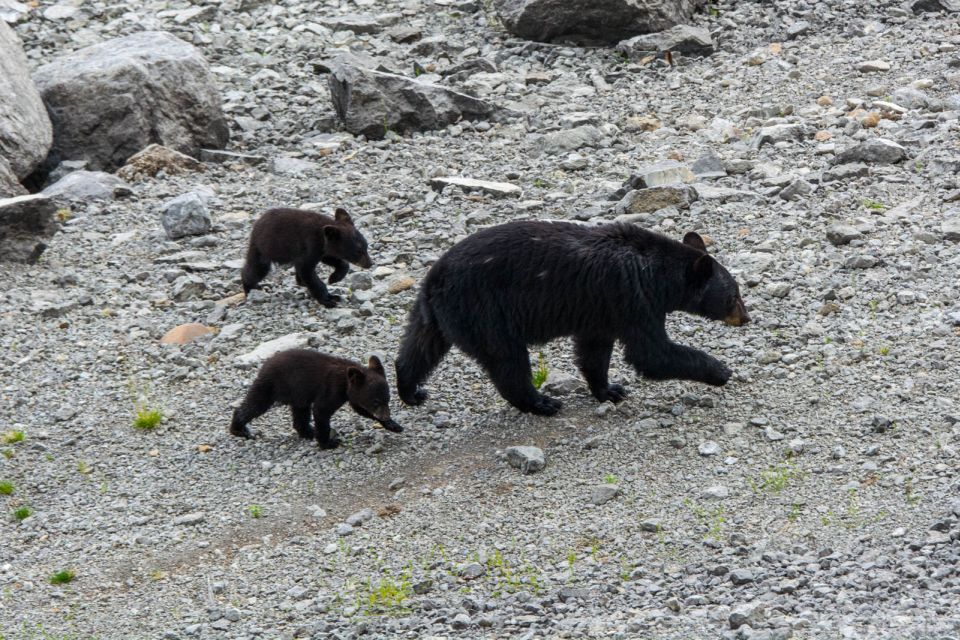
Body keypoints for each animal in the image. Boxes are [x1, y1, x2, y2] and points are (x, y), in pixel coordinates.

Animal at [230, 350, 402, 450]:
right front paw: (328, 443)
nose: (385, 415)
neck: (345, 381)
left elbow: (361, 409)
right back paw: (239, 429)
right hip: (272, 384)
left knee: (300, 413)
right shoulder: (332, 389)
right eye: (375, 401)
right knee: (256, 404)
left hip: (298, 393)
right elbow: (322, 410)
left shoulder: (353, 394)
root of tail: (265, 364)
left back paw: (308, 431)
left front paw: (393, 425)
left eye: (387, 399)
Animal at [242, 208, 374, 308]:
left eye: (366, 247)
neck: (322, 237)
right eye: (358, 251)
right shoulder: (310, 245)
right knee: (258, 268)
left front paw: (334, 278)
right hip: (263, 248)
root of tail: (256, 224)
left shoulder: (322, 250)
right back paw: (251, 288)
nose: (370, 263)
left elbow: (333, 259)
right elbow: (306, 270)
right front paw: (328, 299)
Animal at [396, 222, 752, 418]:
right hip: (485, 312)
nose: (746, 317)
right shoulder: (631, 296)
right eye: (734, 295)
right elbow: (651, 353)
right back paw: (541, 402)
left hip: (436, 314)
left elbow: (594, 351)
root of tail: (434, 278)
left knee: (419, 348)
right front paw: (720, 370)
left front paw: (609, 389)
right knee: (507, 360)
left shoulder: (601, 311)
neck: (655, 272)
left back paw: (410, 390)